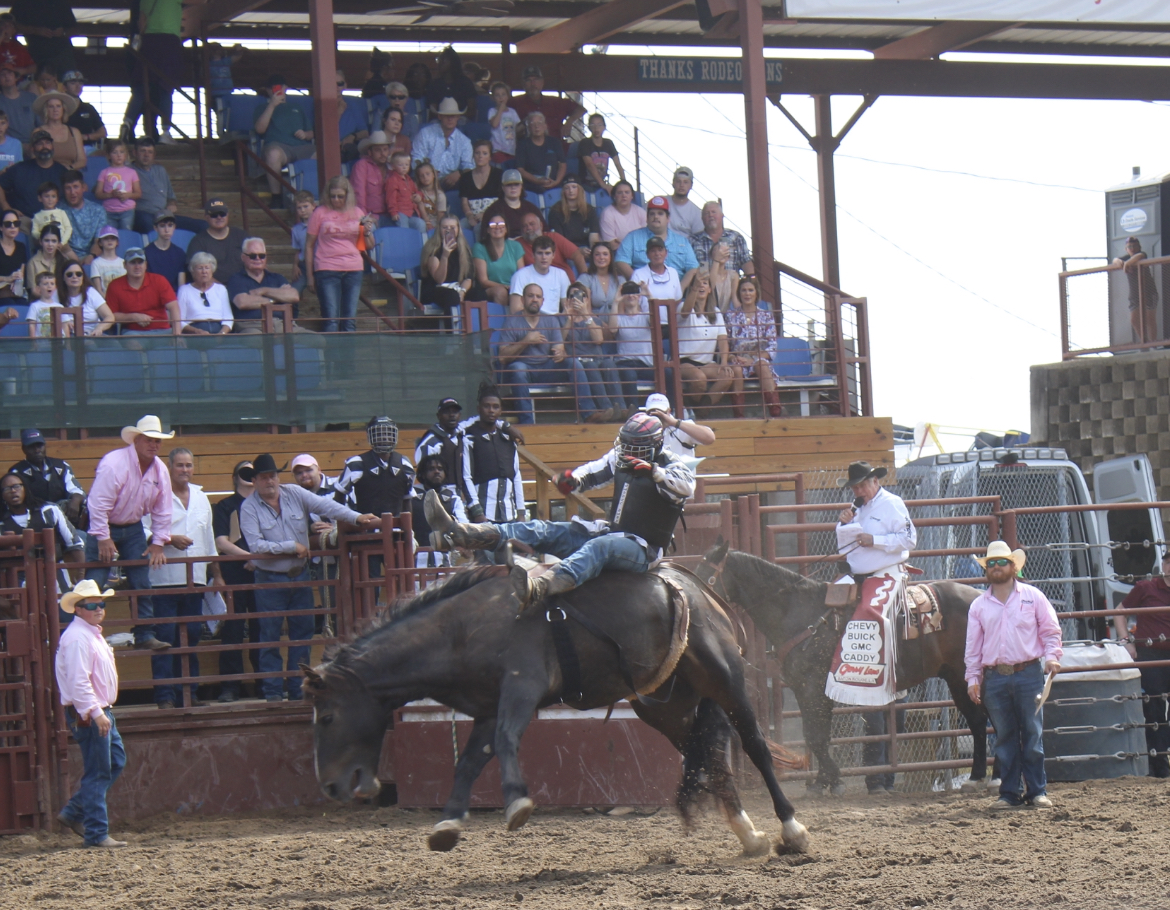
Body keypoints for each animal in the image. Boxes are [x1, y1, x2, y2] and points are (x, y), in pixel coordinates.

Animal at [306, 556, 809, 856]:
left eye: (328, 716)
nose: (329, 785)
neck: (462, 629)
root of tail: (693, 585)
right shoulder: (487, 706)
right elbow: (469, 761)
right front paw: (447, 823)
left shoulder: (521, 688)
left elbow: (506, 741)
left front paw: (517, 803)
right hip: (669, 707)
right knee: (709, 755)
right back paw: (748, 834)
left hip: (725, 677)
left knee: (754, 745)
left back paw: (791, 829)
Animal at [697, 538, 992, 795]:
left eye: (705, 574)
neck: (800, 611)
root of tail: (978, 594)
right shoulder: (803, 688)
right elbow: (816, 735)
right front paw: (821, 782)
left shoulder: (813, 686)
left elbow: (816, 736)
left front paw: (833, 780)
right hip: (957, 678)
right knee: (979, 721)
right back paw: (979, 776)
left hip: (969, 676)